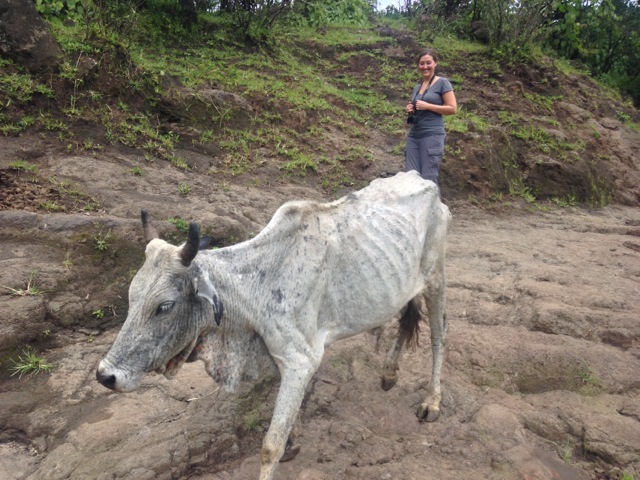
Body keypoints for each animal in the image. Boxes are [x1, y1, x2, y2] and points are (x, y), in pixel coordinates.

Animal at [97, 172, 452, 480]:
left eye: (164, 306)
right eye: (131, 296)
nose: (105, 375)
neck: (256, 288)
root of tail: (423, 180)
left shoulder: (301, 360)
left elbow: (270, 446)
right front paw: (295, 437)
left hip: (436, 279)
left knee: (438, 334)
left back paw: (431, 401)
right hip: (400, 284)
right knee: (406, 315)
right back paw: (389, 372)